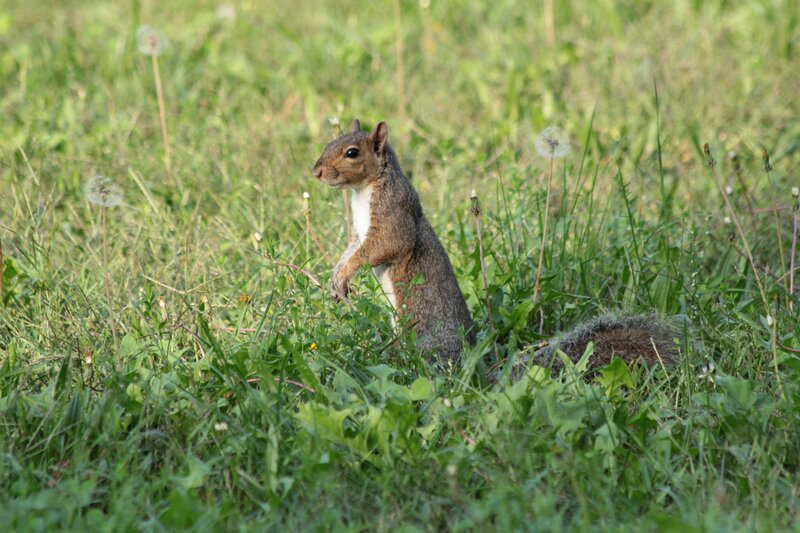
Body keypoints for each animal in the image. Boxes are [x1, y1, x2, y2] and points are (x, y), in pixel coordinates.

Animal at [313, 119, 476, 364]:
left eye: (352, 153)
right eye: (329, 143)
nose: (316, 172)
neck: (363, 190)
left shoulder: (393, 213)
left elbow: (383, 246)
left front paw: (344, 274)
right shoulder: (360, 234)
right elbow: (352, 249)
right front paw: (336, 274)